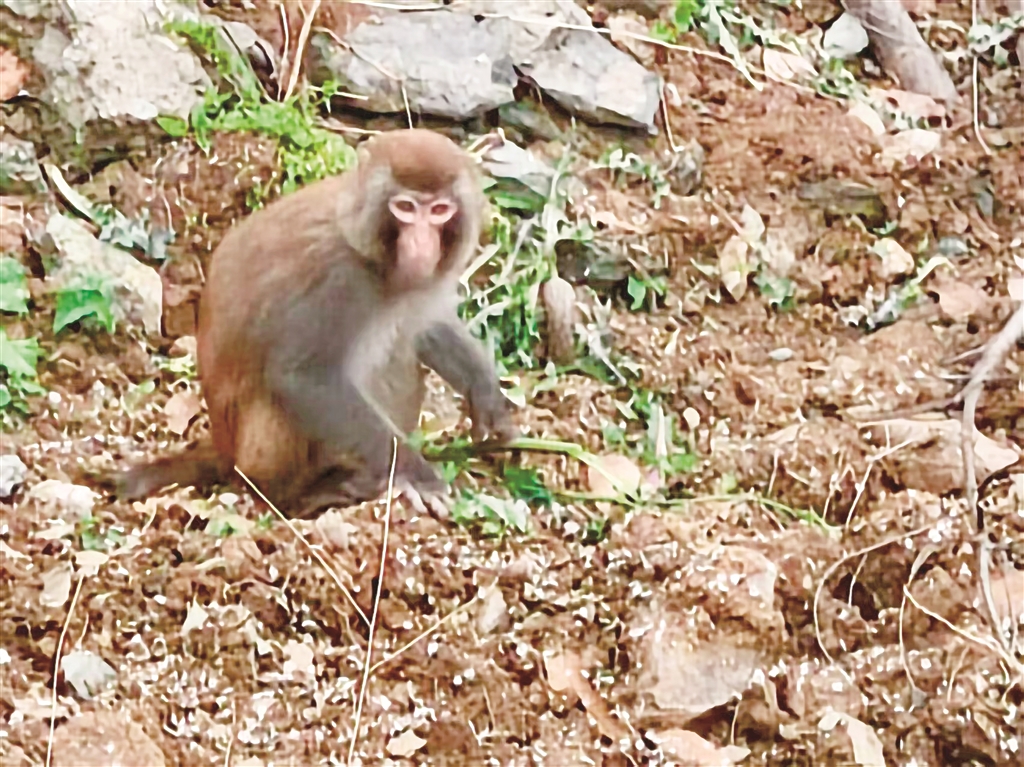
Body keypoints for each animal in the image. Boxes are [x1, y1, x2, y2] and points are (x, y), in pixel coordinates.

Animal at [113, 129, 515, 517]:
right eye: (405, 208)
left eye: (439, 210)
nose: (421, 244)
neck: (372, 254)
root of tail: (224, 449)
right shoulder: (337, 279)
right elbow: (301, 377)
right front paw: (414, 471)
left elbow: (428, 327)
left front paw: (485, 393)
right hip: (253, 456)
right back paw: (304, 492)